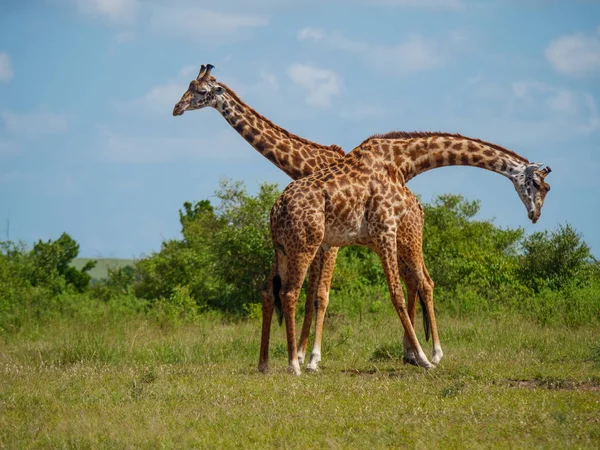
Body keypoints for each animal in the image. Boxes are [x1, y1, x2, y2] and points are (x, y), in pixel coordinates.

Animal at [171, 64, 438, 372]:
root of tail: (417, 203)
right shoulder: (313, 242)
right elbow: (295, 294)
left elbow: (318, 296)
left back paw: (426, 354)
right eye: (187, 86)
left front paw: (309, 358)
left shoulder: (329, 244)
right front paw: (297, 355)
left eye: (200, 91)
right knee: (414, 280)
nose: (177, 108)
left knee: (421, 281)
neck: (305, 164)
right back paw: (412, 353)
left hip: (402, 237)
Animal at [270, 132, 552, 374]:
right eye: (540, 185)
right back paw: (294, 364)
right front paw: (424, 358)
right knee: (291, 293)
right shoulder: (385, 230)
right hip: (306, 246)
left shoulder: (382, 235)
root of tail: (277, 208)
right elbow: (396, 295)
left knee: (280, 293)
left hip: (284, 249)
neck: (401, 162)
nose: (535, 214)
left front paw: (419, 355)